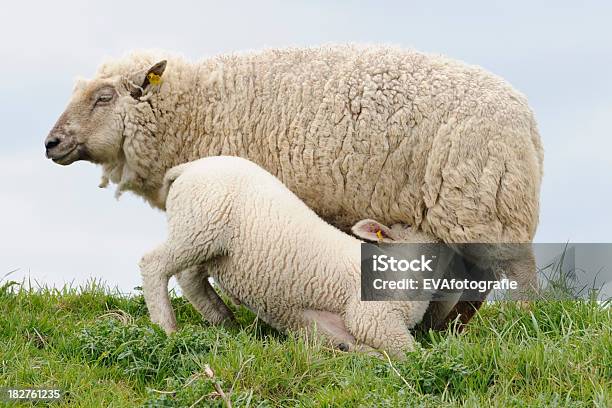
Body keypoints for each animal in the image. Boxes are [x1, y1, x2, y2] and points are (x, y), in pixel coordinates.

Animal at [45, 43, 544, 326]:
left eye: (103, 97)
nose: (51, 143)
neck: (195, 109)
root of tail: (526, 119)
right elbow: (194, 273)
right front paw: (223, 320)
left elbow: (192, 273)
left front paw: (224, 319)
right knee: (477, 280)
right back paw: (450, 326)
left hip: (481, 204)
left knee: (517, 274)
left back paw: (522, 324)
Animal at [141, 156, 452, 356]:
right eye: (411, 229)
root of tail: (188, 167)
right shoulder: (373, 318)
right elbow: (411, 354)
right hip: (200, 225)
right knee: (154, 265)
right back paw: (167, 328)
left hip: (204, 239)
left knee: (189, 277)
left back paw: (224, 321)